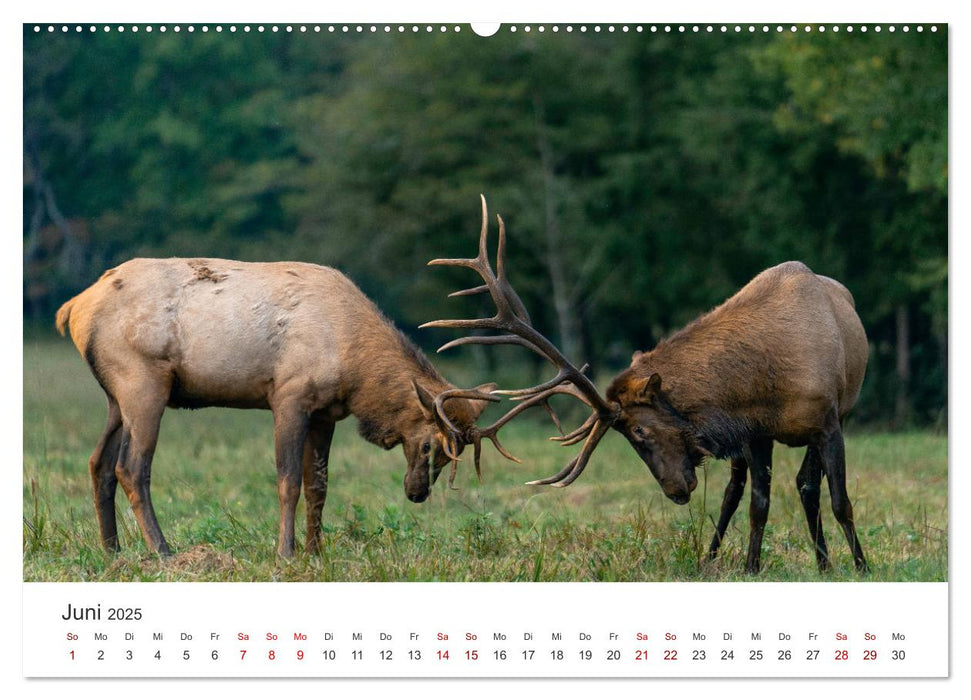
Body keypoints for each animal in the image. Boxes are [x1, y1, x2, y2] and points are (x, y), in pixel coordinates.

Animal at [55, 258, 508, 556]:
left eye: (455, 454)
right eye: (432, 444)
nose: (417, 493)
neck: (354, 368)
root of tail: (72, 308)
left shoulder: (326, 412)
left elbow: (318, 484)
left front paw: (315, 552)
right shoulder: (290, 396)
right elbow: (288, 481)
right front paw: (286, 553)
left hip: (116, 396)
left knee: (98, 462)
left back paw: (112, 551)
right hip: (143, 381)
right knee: (131, 467)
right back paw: (164, 552)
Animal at [430, 197, 868, 576]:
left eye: (640, 430)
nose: (675, 490)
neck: (770, 376)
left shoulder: (828, 423)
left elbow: (839, 500)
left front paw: (861, 566)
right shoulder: (756, 432)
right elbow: (758, 503)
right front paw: (751, 568)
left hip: (835, 416)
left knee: (806, 486)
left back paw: (825, 563)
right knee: (737, 489)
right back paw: (716, 559)